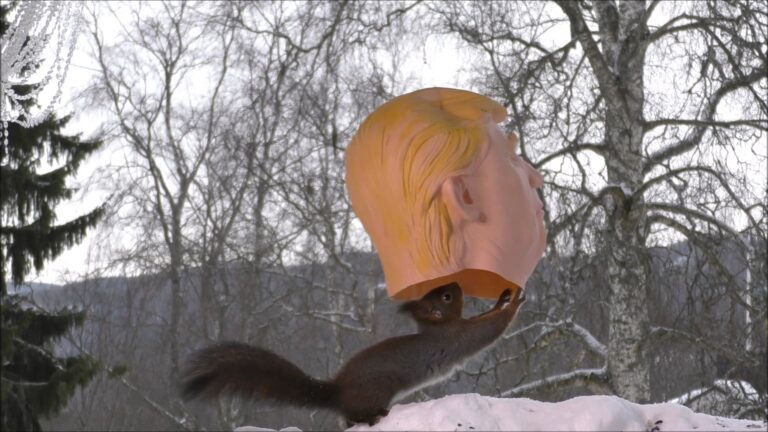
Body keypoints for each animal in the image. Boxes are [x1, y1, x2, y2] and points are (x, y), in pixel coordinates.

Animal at [180, 282, 525, 426]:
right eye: (447, 296)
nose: (456, 283)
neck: (436, 326)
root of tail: (337, 393)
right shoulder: (457, 337)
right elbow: (489, 329)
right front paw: (514, 303)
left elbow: (487, 318)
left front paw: (503, 298)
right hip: (378, 390)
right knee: (356, 416)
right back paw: (372, 417)